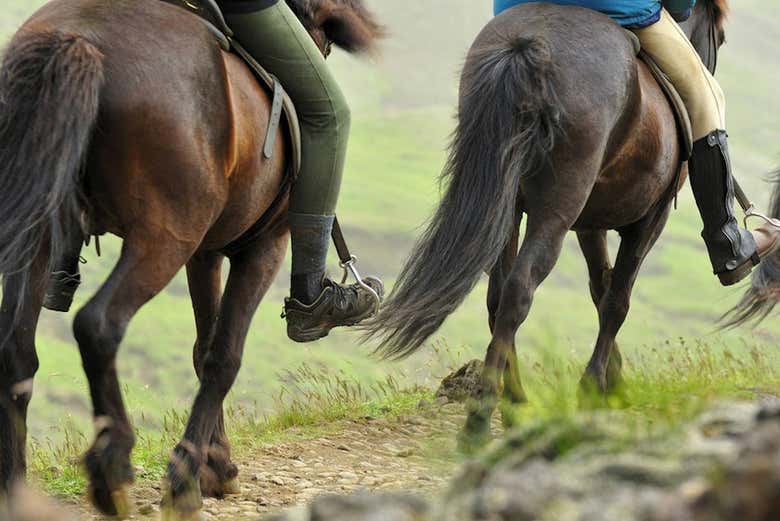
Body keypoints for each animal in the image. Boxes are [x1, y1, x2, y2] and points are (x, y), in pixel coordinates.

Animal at [0, 0, 380, 512]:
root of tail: (77, 39)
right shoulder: (264, 247)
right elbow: (224, 356)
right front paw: (184, 480)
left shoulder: (204, 253)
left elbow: (203, 348)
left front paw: (214, 465)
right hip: (164, 237)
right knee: (98, 325)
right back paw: (113, 466)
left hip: (40, 229)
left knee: (16, 350)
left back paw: (17, 490)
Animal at [362, 0, 736, 446]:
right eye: (720, 36)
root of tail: (528, 46)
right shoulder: (650, 220)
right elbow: (617, 301)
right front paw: (593, 391)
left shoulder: (591, 224)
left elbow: (600, 289)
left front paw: (613, 384)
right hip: (557, 208)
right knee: (519, 291)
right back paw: (480, 422)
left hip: (506, 210)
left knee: (498, 298)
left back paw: (516, 407)